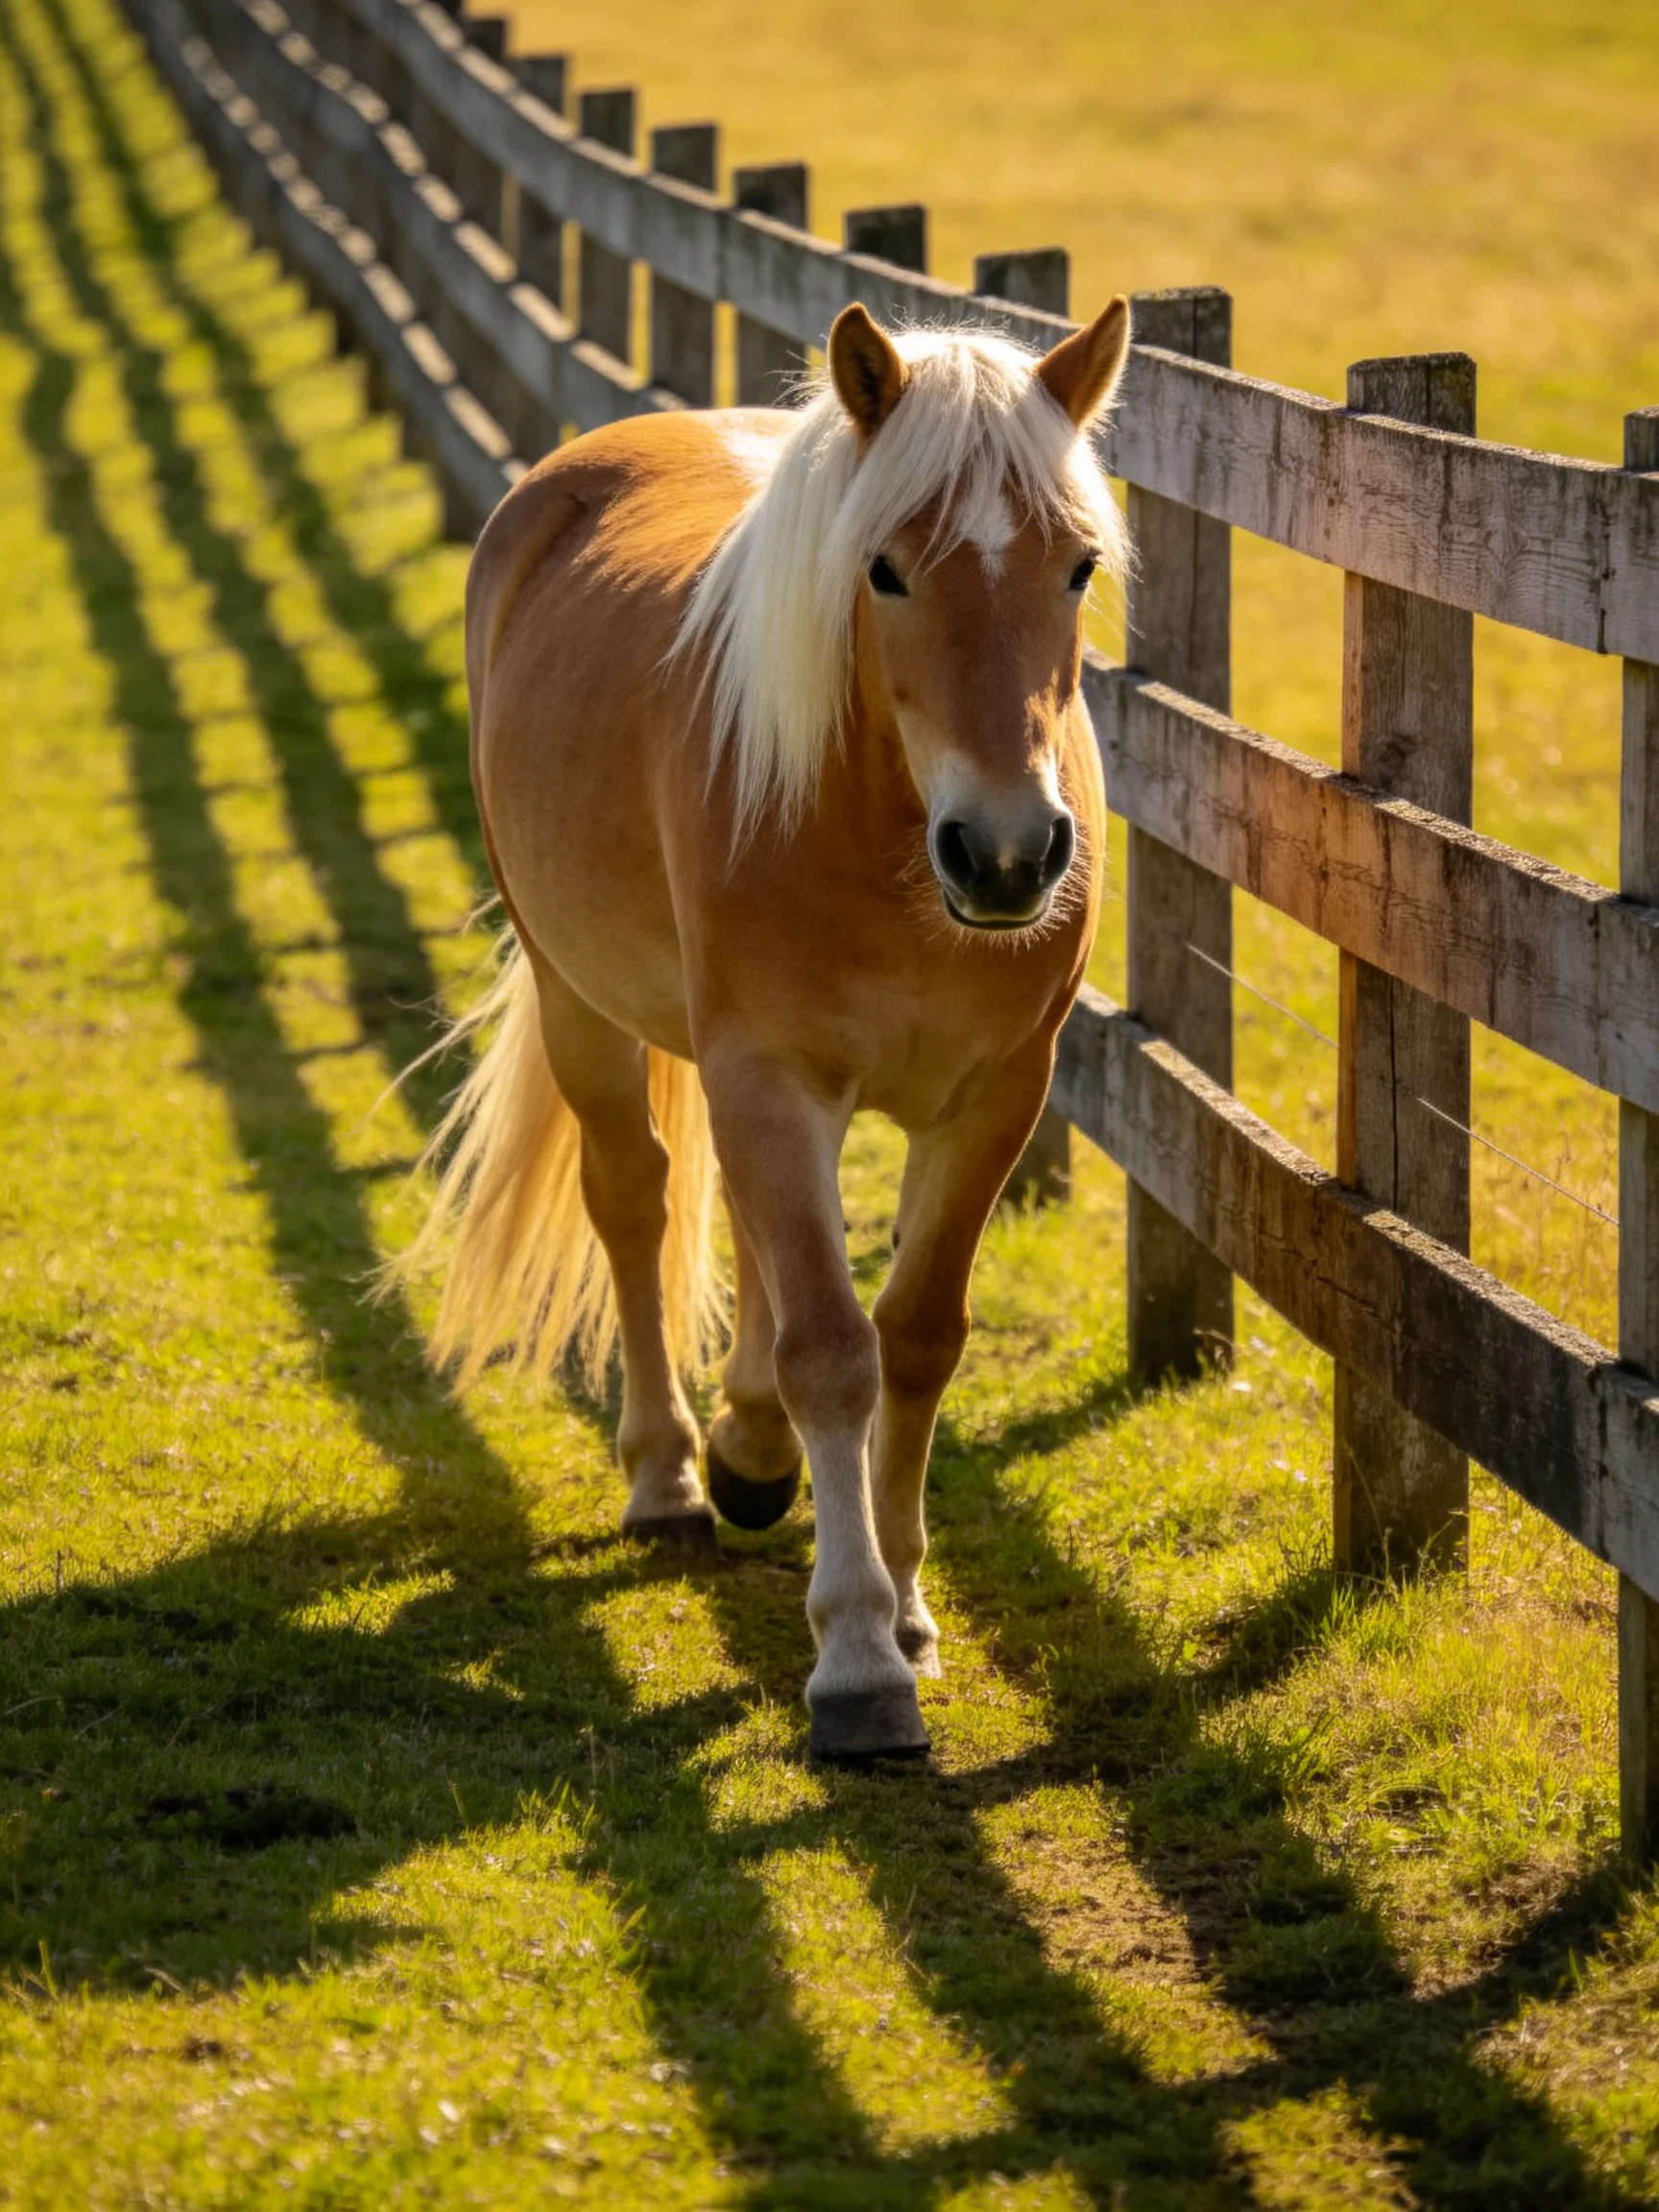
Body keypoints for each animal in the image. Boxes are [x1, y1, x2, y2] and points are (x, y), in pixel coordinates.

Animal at [388, 297, 1133, 1761]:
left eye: (1076, 567)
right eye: (885, 571)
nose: (1009, 856)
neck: (886, 842)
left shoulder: (994, 1098)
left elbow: (916, 1336)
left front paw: (908, 1606)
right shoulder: (770, 1080)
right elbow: (834, 1352)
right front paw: (855, 1660)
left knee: (741, 1228)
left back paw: (746, 1453)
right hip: (581, 1001)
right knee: (637, 1200)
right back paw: (674, 1477)